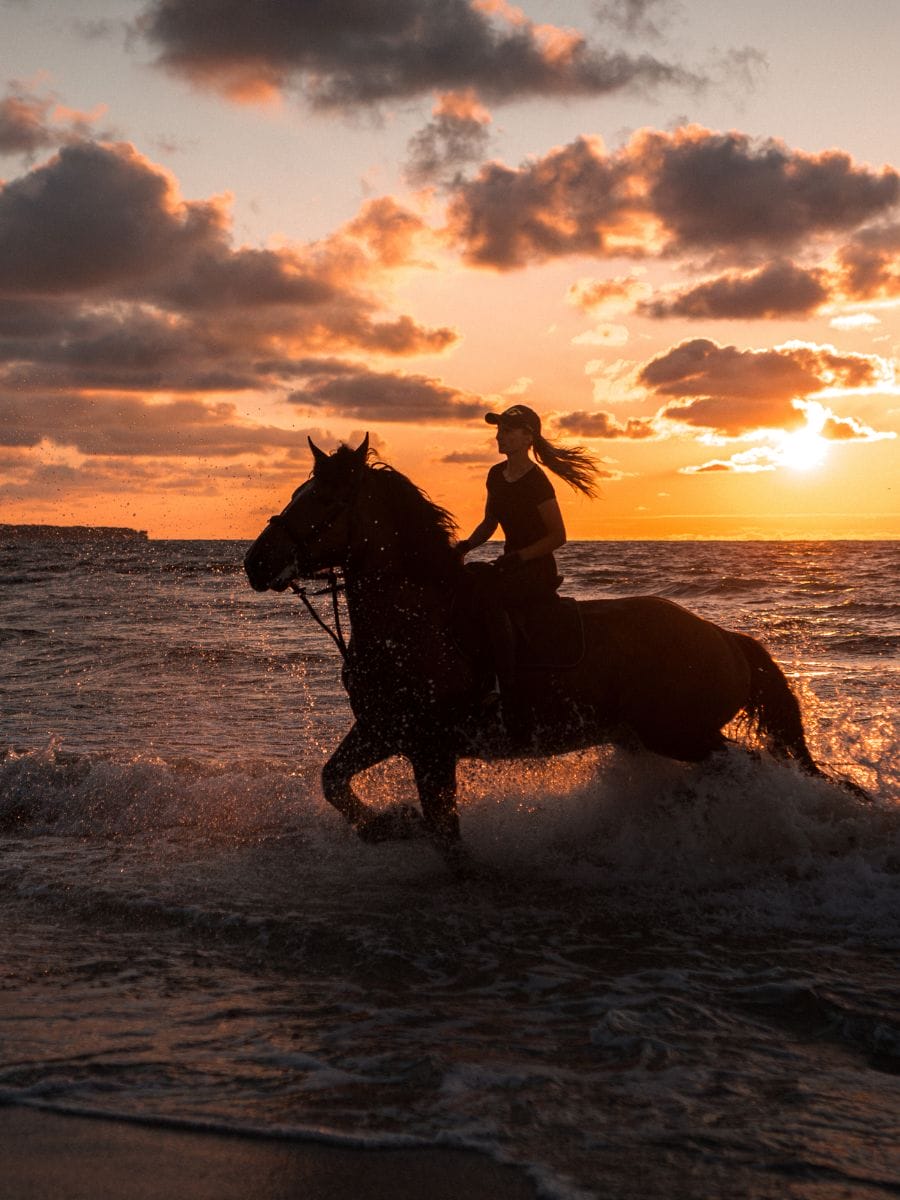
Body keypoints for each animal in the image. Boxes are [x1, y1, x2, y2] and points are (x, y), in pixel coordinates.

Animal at [244, 435, 837, 858]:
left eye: (322, 499)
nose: (255, 562)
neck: (414, 621)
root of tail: (725, 638)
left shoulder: (431, 745)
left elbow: (447, 835)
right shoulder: (385, 729)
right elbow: (333, 782)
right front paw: (389, 824)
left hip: (681, 733)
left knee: (753, 767)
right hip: (651, 737)